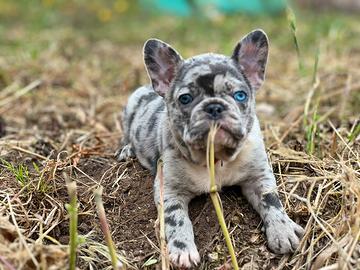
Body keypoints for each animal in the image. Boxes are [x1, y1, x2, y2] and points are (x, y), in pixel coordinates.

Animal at [118, 30, 304, 268]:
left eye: (240, 95)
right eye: (185, 99)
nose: (214, 107)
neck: (215, 155)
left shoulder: (259, 177)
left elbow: (271, 200)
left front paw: (282, 230)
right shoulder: (168, 190)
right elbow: (176, 218)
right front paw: (183, 249)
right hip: (128, 112)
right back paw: (126, 150)